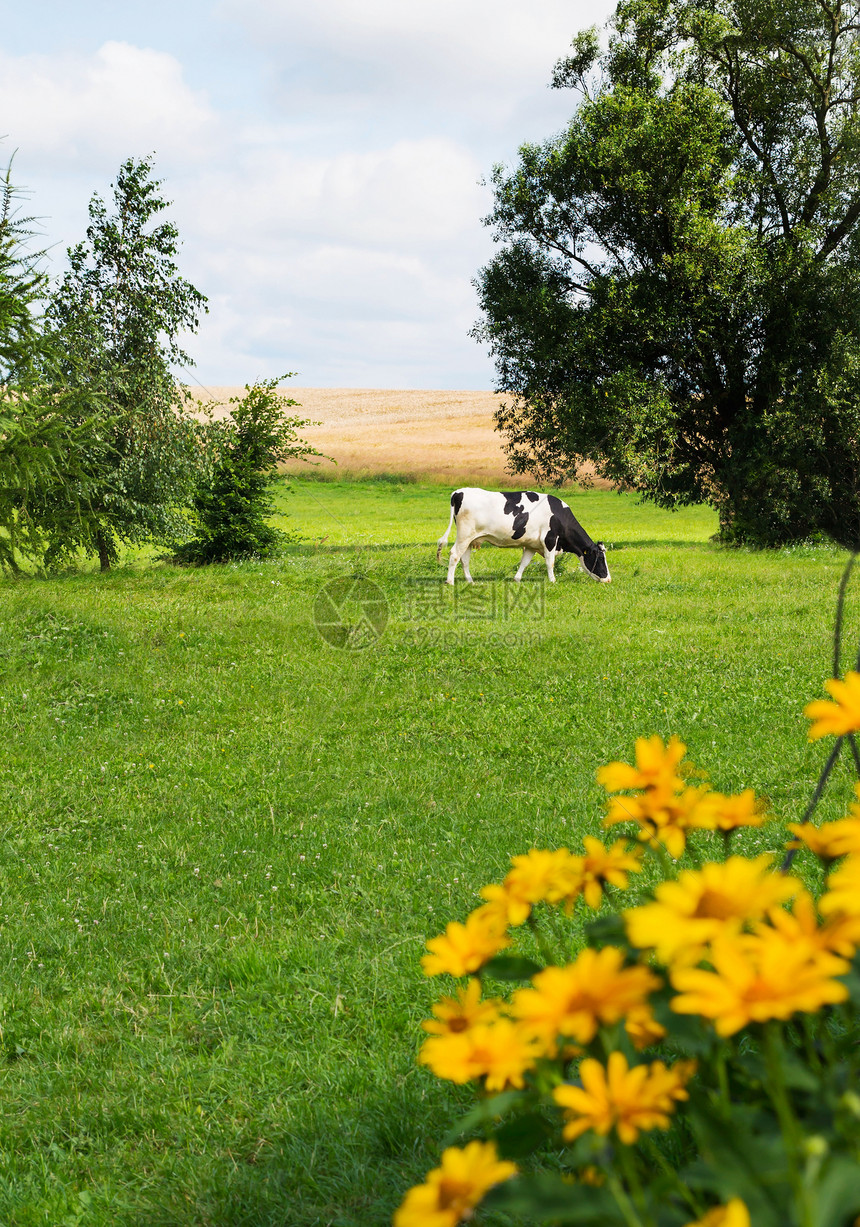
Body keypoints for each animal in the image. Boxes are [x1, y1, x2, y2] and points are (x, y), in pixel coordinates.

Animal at [436, 485, 610, 586]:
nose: (608, 579)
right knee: (454, 555)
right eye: (600, 558)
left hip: (470, 538)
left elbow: (524, 563)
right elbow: (550, 563)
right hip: (464, 535)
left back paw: (470, 581)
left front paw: (517, 579)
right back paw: (450, 581)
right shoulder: (550, 540)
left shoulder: (532, 545)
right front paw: (553, 580)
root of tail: (459, 492)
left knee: (464, 559)